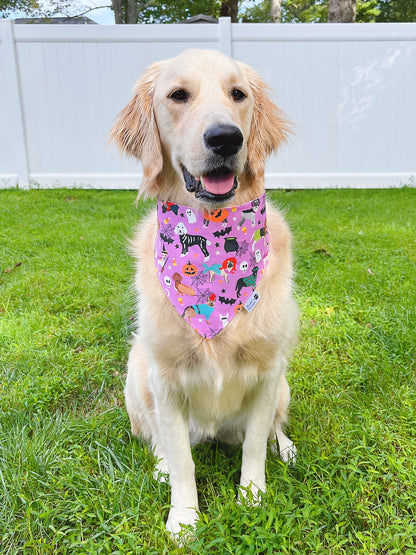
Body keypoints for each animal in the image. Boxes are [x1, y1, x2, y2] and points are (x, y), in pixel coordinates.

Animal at [110, 48, 300, 540]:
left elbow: (255, 444)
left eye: (239, 94)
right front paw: (184, 519)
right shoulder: (165, 378)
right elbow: (182, 460)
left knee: (274, 427)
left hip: (284, 384)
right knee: (158, 437)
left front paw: (253, 498)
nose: (226, 138)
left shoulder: (269, 371)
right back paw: (159, 463)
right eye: (178, 95)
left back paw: (286, 447)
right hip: (137, 374)